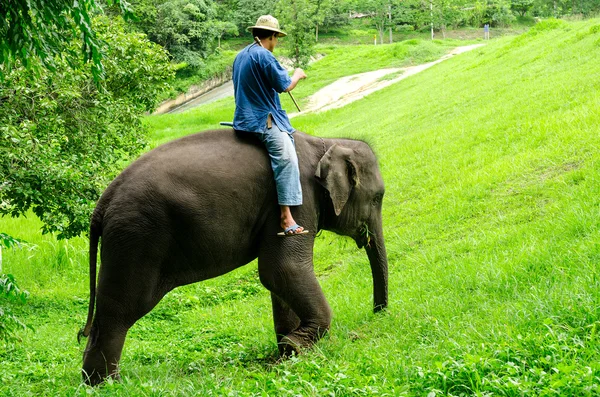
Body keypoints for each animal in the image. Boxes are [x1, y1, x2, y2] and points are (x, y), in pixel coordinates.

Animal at [78, 128, 390, 386]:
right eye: (377, 198)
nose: (378, 313)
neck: (324, 142)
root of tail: (102, 202)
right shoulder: (295, 198)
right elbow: (283, 269)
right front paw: (295, 346)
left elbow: (279, 280)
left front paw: (287, 353)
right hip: (137, 238)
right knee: (120, 310)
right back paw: (107, 384)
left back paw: (96, 381)